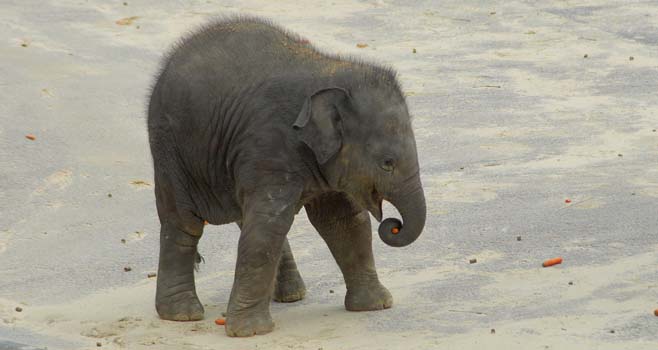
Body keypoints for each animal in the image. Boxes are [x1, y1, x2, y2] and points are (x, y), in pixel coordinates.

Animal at [147, 16, 426, 336]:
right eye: (387, 163)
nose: (394, 226)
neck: (330, 71)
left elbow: (343, 221)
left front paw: (376, 305)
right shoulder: (268, 146)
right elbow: (269, 225)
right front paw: (249, 332)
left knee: (244, 217)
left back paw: (290, 296)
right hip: (171, 151)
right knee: (184, 223)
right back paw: (182, 314)